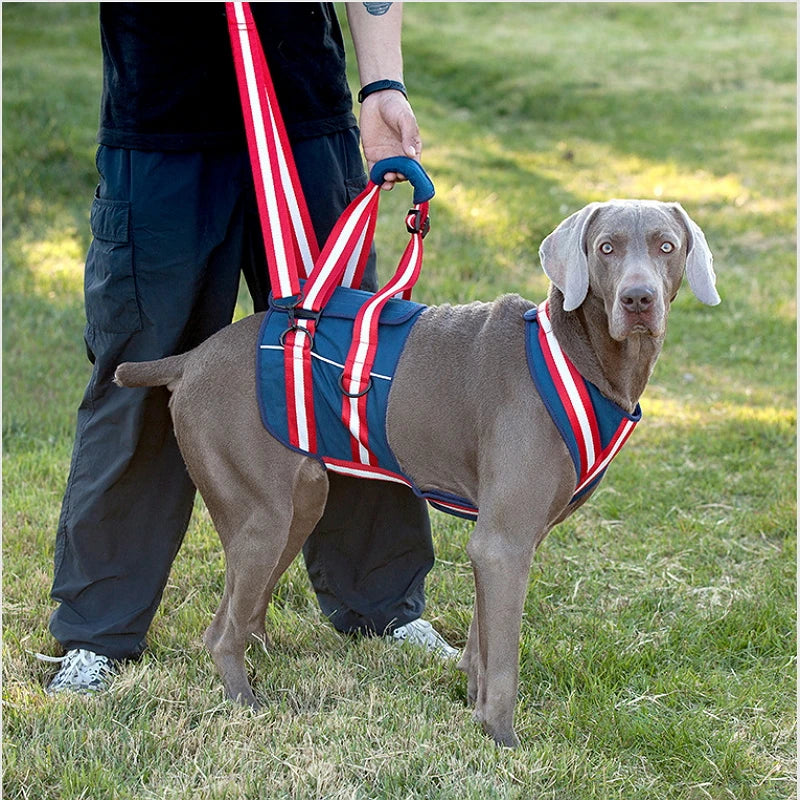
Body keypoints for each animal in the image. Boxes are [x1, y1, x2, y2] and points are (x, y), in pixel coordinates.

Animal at [112, 198, 720, 744]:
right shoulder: (504, 542)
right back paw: (249, 705)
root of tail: (191, 358)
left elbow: (482, 641)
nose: (638, 299)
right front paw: (502, 740)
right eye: (605, 248)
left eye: (666, 246)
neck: (579, 356)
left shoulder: (503, 542)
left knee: (244, 612)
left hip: (300, 500)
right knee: (219, 633)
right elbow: (505, 660)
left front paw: (471, 701)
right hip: (261, 511)